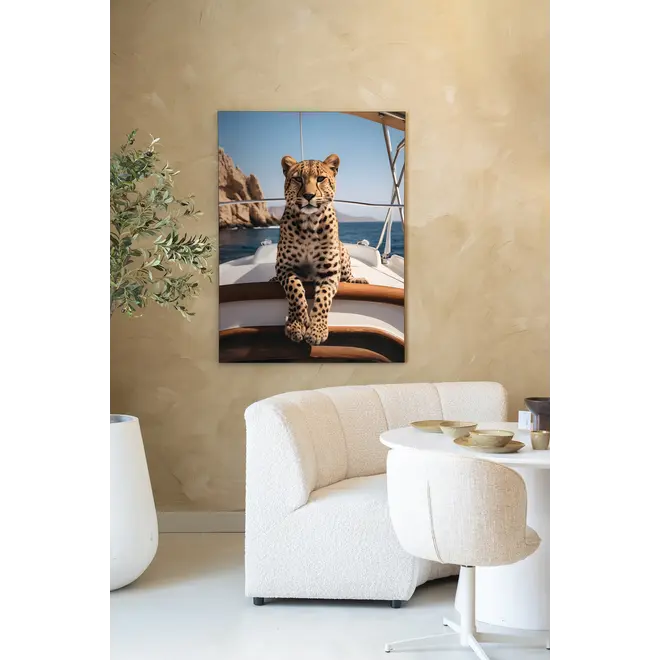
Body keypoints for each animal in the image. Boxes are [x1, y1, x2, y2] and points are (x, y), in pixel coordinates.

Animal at [269, 153, 368, 346]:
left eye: (321, 179)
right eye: (298, 179)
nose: (309, 195)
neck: (309, 224)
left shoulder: (328, 272)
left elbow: (323, 299)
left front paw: (316, 330)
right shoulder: (285, 267)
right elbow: (295, 290)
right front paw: (298, 323)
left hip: (343, 252)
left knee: (347, 275)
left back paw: (357, 280)